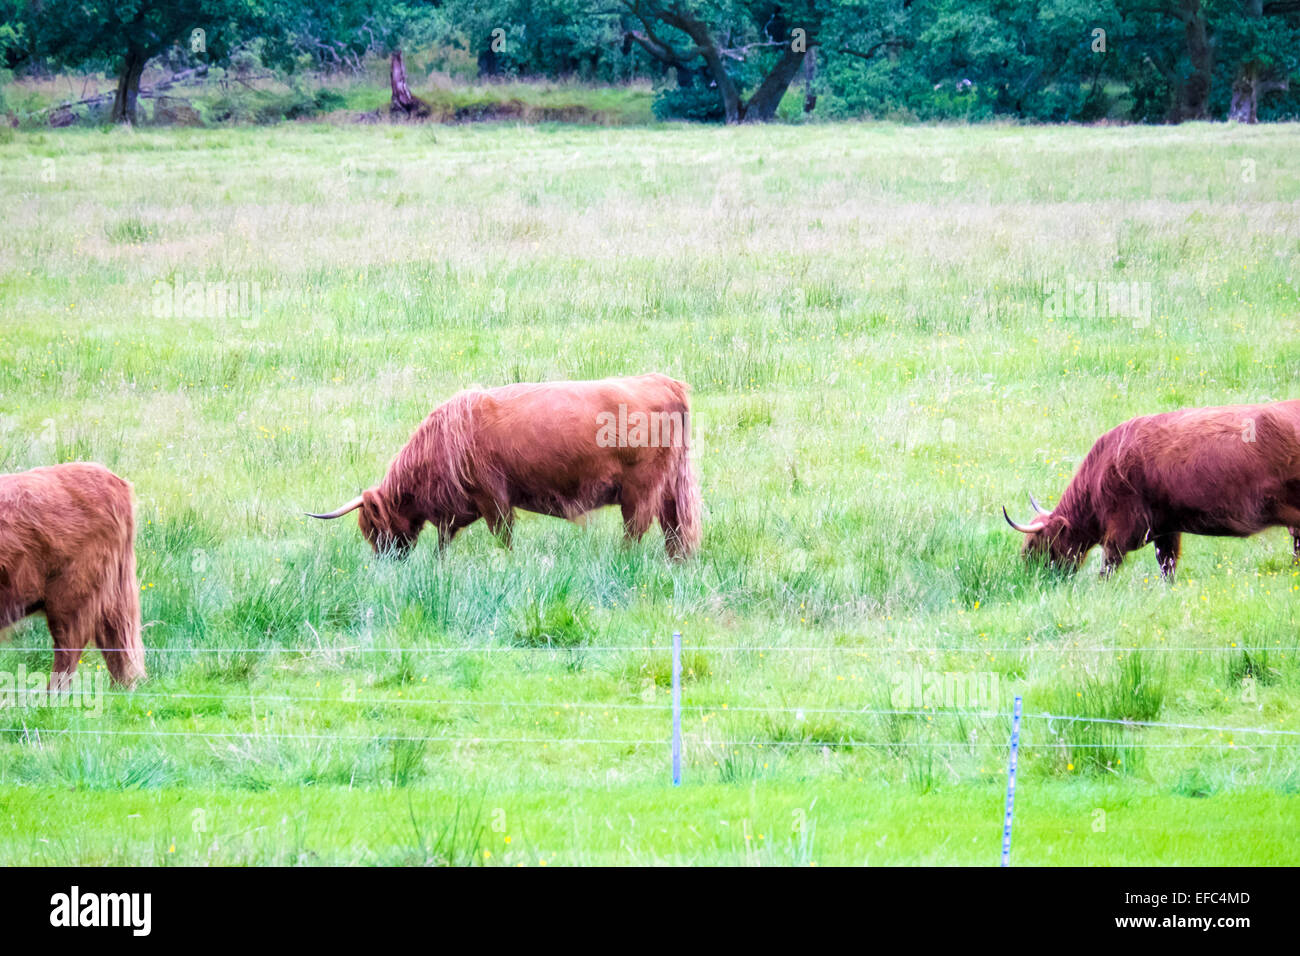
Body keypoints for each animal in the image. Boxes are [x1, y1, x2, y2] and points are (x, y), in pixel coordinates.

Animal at [309, 373, 702, 559]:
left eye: (375, 529)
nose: (384, 563)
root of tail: (661, 380)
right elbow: (443, 543)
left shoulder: (492, 497)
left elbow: (503, 536)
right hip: (669, 488)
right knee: (674, 529)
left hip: (641, 489)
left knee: (637, 528)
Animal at [1004, 401, 1300, 579]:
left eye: (1036, 546)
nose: (1033, 579)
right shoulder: (1166, 528)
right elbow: (1167, 566)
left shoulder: (1121, 529)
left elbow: (1108, 566)